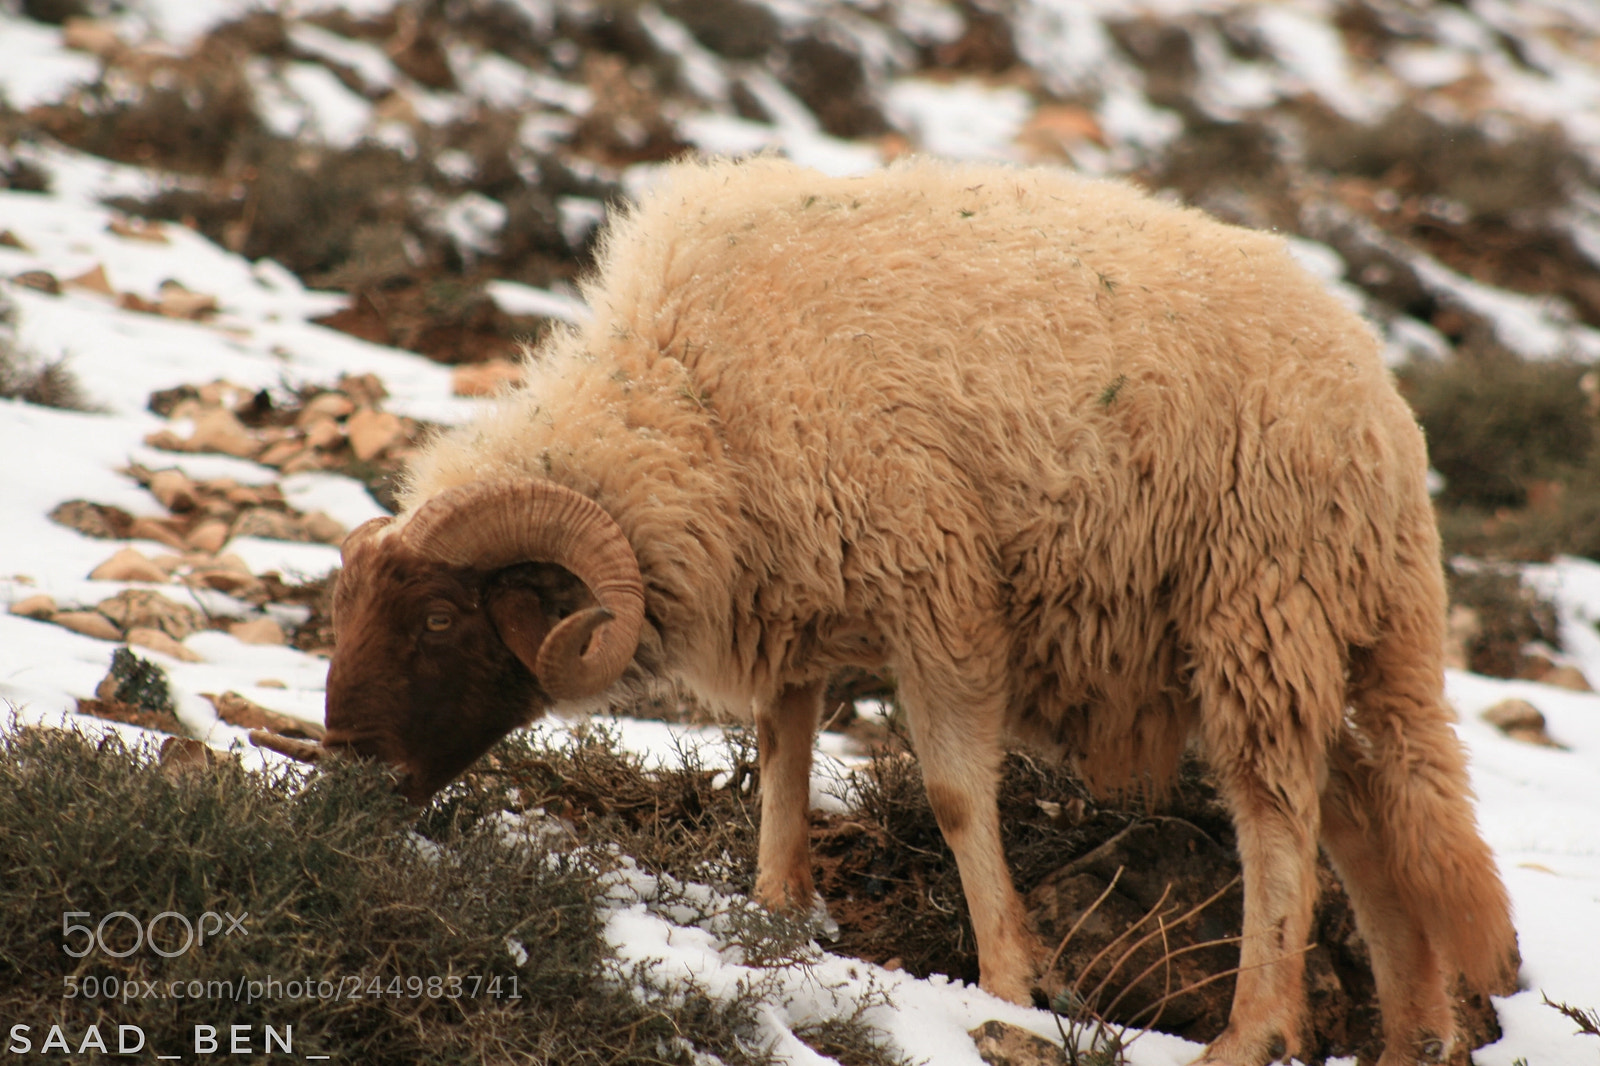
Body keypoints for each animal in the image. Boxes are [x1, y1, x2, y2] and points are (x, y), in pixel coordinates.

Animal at [316, 155, 1518, 1066]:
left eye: (438, 622)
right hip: (1320, 633)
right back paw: (1414, 1035)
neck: (694, 401)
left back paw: (1255, 1031)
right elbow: (782, 749)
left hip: (1258, 606)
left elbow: (949, 794)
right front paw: (777, 908)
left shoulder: (940, 590)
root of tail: (1382, 407)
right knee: (1370, 815)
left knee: (1281, 817)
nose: (346, 773)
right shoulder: (797, 587)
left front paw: (1011, 977)